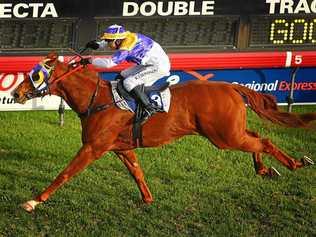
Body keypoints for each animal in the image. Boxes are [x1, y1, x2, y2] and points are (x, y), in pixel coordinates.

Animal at [11, 51, 314, 211]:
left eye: (35, 74)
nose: (16, 93)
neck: (97, 100)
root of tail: (230, 86)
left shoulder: (93, 147)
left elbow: (65, 173)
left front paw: (34, 201)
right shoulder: (122, 148)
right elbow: (137, 172)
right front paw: (147, 198)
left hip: (225, 137)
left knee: (264, 140)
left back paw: (294, 163)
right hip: (230, 132)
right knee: (257, 137)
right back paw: (265, 168)